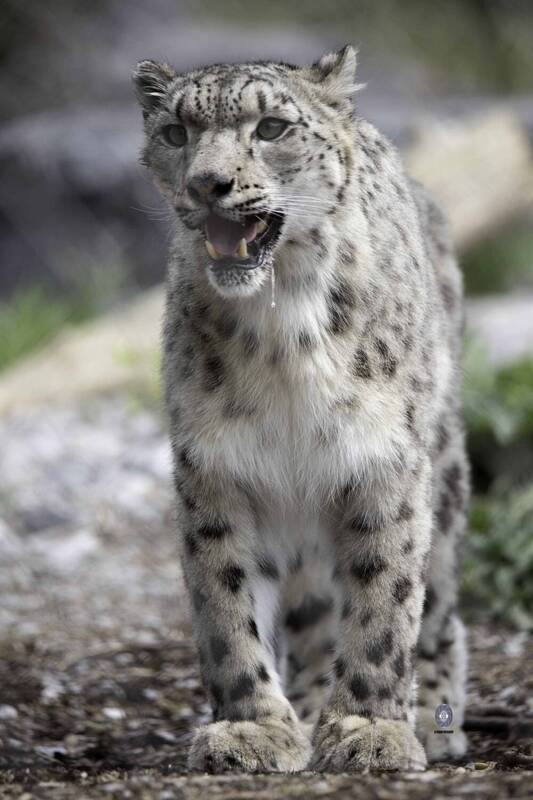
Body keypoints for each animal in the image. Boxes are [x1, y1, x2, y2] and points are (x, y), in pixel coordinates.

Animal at [133, 45, 469, 773]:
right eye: (175, 132)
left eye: (271, 128)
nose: (207, 184)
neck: (280, 327)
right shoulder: (215, 469)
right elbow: (226, 605)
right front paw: (252, 731)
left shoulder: (383, 461)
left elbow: (383, 600)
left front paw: (369, 729)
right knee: (313, 615)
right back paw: (310, 709)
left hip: (446, 475)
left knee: (438, 607)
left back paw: (434, 720)